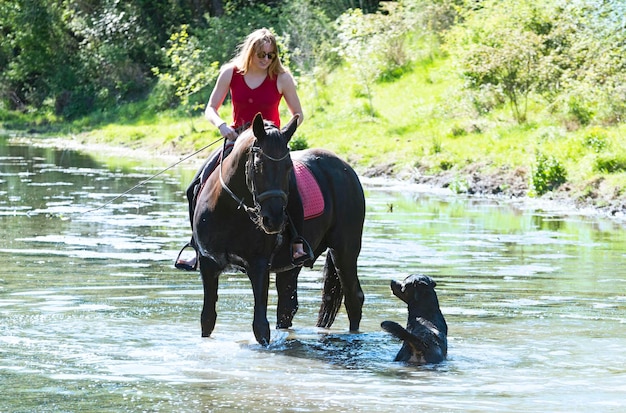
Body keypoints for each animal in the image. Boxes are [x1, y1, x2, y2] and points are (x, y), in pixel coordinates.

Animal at [193, 112, 364, 344]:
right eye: (258, 166)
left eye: (288, 167)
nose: (274, 220)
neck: (229, 210)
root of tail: (346, 169)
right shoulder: (208, 263)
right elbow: (207, 320)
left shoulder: (258, 265)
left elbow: (260, 327)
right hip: (291, 265)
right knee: (287, 307)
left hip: (345, 251)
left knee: (354, 299)